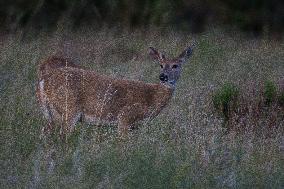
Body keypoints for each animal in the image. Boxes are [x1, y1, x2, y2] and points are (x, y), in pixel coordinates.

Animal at [36, 45, 193, 137]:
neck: (151, 98)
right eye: (161, 65)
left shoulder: (134, 126)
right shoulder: (125, 116)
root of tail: (44, 79)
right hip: (69, 108)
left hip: (49, 112)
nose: (163, 77)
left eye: (175, 66)